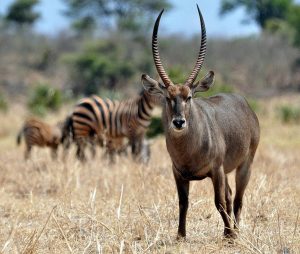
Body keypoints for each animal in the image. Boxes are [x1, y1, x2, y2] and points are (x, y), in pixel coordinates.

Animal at [141, 4, 260, 239]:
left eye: (189, 96)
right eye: (167, 97)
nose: (179, 122)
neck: (189, 150)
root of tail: (244, 104)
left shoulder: (216, 170)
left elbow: (219, 202)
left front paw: (229, 235)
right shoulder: (178, 173)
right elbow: (183, 203)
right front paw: (180, 235)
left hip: (244, 165)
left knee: (238, 198)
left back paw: (235, 231)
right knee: (231, 196)